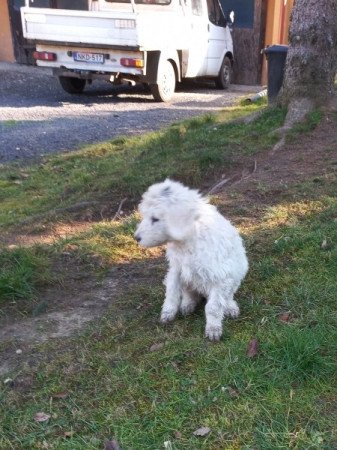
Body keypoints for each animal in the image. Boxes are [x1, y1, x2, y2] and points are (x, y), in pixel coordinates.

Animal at [133, 179, 247, 342]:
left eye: (155, 219)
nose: (136, 238)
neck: (189, 238)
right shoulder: (176, 269)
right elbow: (172, 292)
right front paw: (167, 313)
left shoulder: (220, 277)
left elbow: (213, 306)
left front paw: (213, 329)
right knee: (189, 292)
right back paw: (187, 305)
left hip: (236, 276)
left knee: (228, 296)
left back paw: (230, 307)